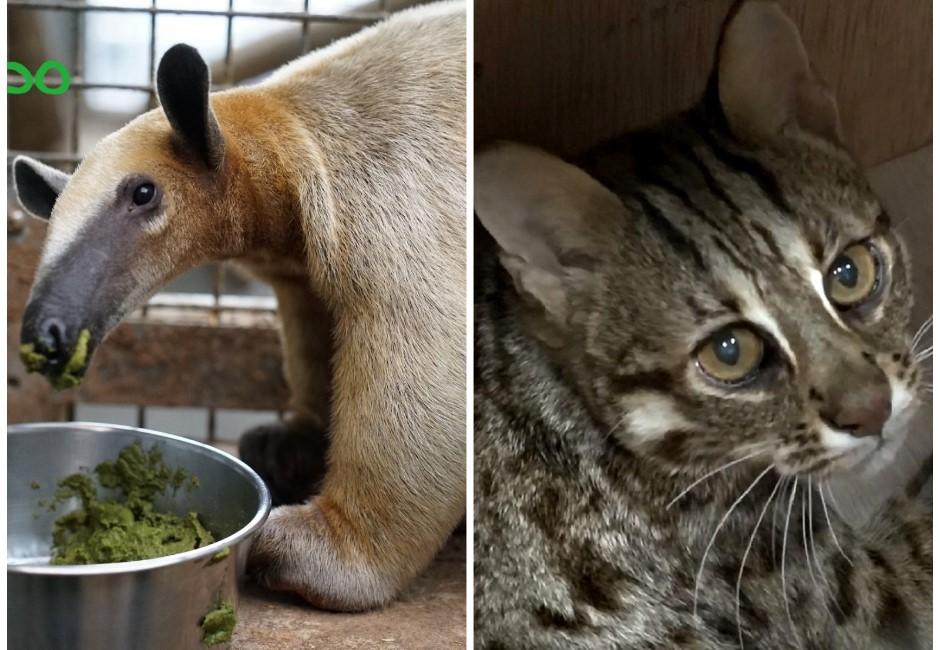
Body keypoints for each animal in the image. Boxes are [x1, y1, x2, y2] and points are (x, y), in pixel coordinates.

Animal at [12, 1, 468, 608]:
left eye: (143, 192)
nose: (48, 337)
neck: (291, 132)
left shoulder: (398, 201)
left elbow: (426, 361)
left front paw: (304, 548)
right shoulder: (299, 266)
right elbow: (314, 332)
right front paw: (287, 444)